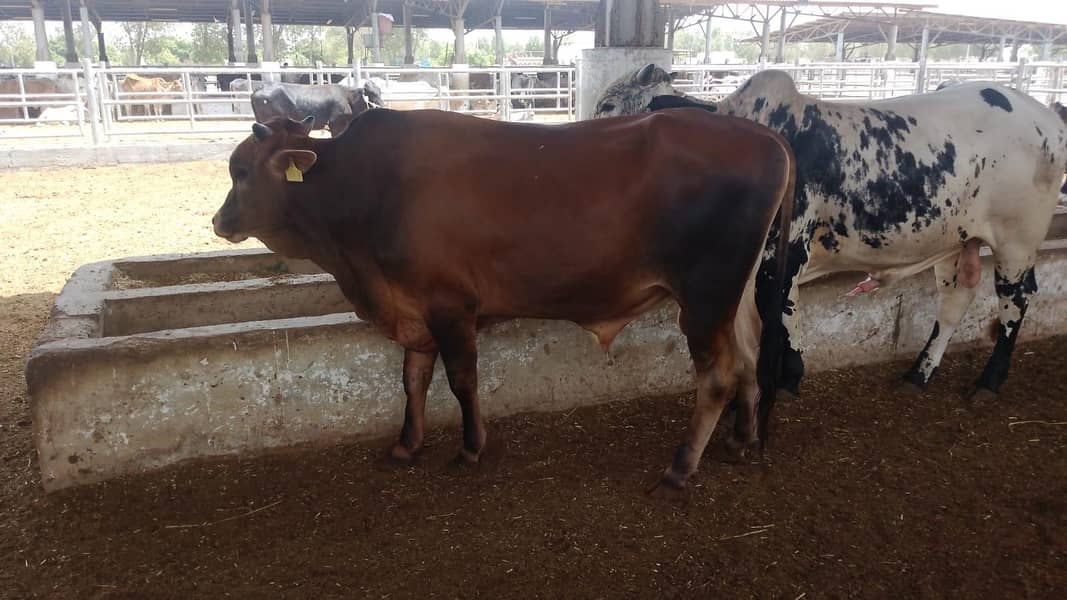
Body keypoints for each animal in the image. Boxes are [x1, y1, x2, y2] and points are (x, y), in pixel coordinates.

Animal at [212, 109, 796, 495]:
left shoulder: (450, 305)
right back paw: (740, 440)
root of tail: (763, 134)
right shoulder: (414, 307)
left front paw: (471, 447)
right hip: (734, 295)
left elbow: (461, 381)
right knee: (748, 355)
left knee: (717, 375)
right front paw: (406, 444)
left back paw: (680, 467)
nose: (219, 221)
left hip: (705, 294)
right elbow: (413, 379)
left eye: (240, 170)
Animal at [250, 81, 384, 137]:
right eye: (371, 94)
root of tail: (259, 88)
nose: (383, 106)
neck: (348, 98)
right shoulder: (336, 124)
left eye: (380, 92)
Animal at [594, 64, 1067, 411]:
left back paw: (988, 382)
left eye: (609, 103)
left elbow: (777, 319)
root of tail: (1046, 114)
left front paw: (776, 385)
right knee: (955, 302)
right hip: (957, 241)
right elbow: (782, 317)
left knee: (1017, 300)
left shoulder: (780, 254)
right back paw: (917, 374)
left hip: (1016, 242)